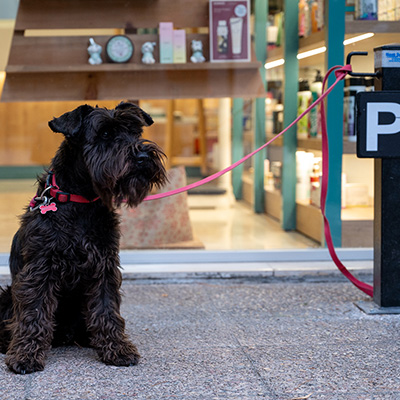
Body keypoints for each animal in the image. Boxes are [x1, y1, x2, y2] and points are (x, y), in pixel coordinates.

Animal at [0, 101, 167, 374]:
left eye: (135, 132)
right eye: (106, 134)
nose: (143, 157)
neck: (81, 200)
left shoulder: (104, 266)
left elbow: (106, 308)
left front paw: (116, 348)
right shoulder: (40, 268)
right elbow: (34, 310)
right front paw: (25, 355)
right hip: (7, 295)